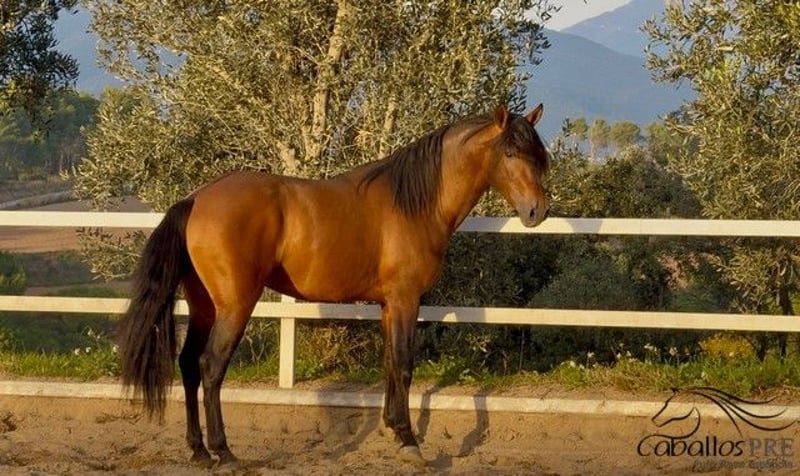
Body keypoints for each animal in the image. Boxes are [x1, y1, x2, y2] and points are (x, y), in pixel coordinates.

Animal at [118, 104, 550, 466]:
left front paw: (394, 429)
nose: (538, 211)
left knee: (189, 365)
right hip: (234, 306)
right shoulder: (406, 299)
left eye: (538, 155)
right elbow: (404, 364)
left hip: (204, 306)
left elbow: (389, 364)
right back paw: (224, 452)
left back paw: (199, 452)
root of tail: (195, 200)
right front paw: (410, 442)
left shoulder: (388, 305)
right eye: (511, 154)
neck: (415, 202)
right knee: (210, 367)